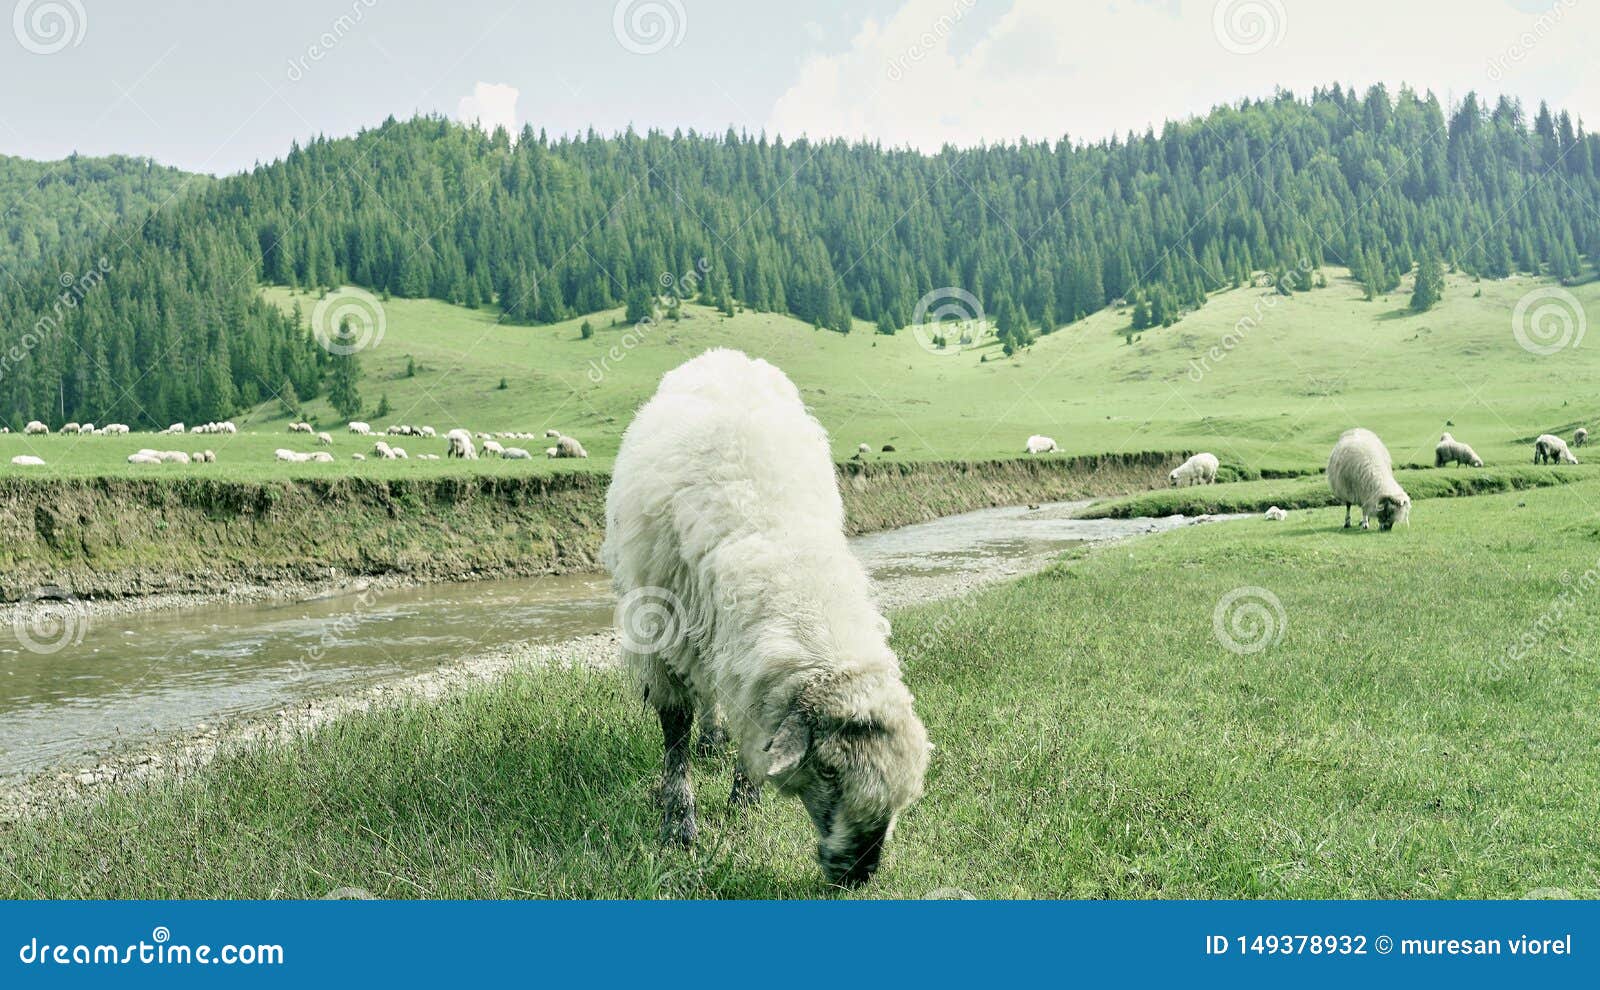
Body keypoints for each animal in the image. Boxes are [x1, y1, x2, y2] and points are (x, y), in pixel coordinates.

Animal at [601, 351, 934, 889]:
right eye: (829, 771)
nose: (858, 876)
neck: (777, 539)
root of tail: (724, 353)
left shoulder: (751, 664)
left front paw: (744, 801)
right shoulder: (663, 637)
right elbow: (675, 732)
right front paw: (678, 827)